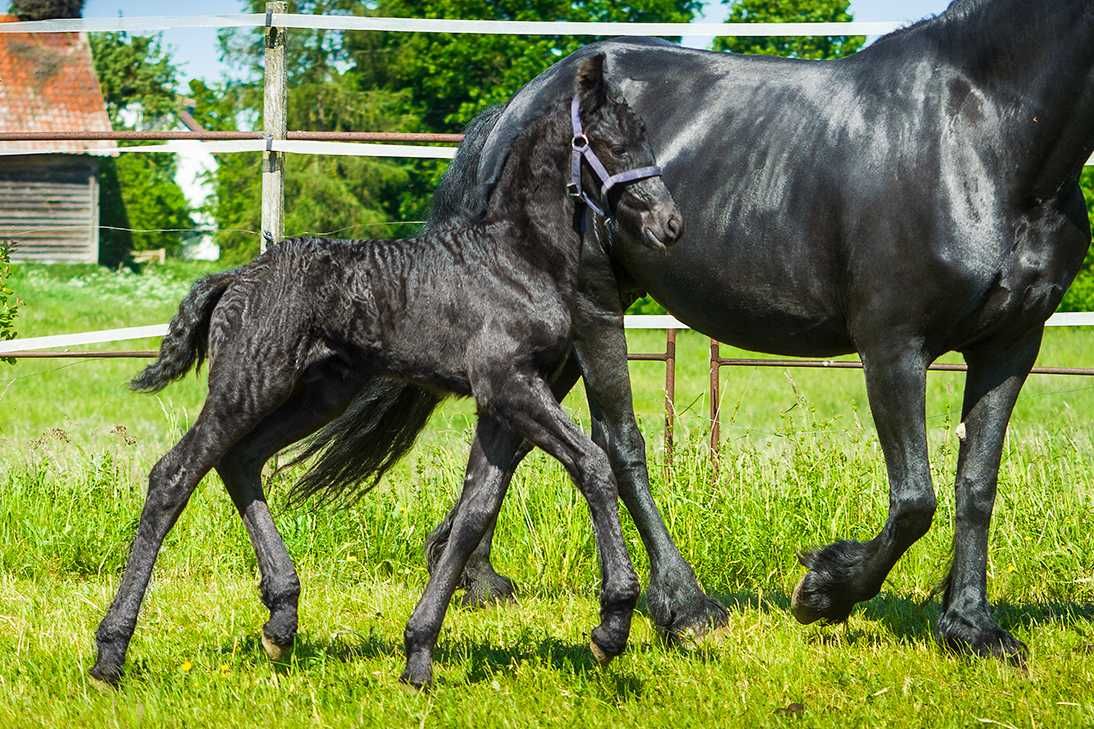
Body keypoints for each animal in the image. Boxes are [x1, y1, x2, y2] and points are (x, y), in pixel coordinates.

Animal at [89, 56, 678, 687]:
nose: (671, 224)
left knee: (240, 461)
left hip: (318, 394)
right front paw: (612, 623)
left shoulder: (501, 403)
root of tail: (237, 277)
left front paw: (418, 653)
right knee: (174, 475)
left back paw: (281, 619)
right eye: (609, 144)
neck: (516, 259)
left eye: (646, 138)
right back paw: (110, 653)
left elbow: (474, 512)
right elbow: (592, 465)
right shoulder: (511, 386)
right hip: (250, 383)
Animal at [413, 0, 1089, 656]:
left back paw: (476, 579)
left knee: (509, 440)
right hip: (590, 308)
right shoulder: (893, 348)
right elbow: (915, 500)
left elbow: (975, 486)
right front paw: (824, 590)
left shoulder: (1009, 346)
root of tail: (517, 108)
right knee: (617, 443)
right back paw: (684, 608)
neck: (978, 135)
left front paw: (972, 627)